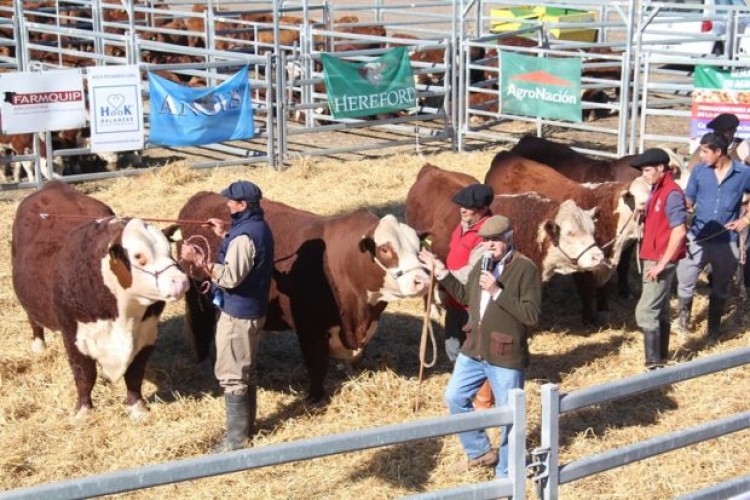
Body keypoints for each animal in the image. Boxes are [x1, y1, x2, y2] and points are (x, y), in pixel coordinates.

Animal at [11, 181, 190, 419]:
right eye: (139, 256)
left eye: (169, 250)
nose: (180, 281)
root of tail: (52, 185)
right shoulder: (74, 336)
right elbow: (84, 375)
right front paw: (83, 412)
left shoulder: (147, 334)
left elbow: (135, 373)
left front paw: (137, 408)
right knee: (33, 319)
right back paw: (39, 345)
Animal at [168, 193, 430, 401]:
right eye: (385, 249)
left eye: (419, 248)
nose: (422, 280)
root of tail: (200, 197)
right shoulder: (309, 327)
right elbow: (316, 364)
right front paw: (314, 397)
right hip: (197, 298)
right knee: (201, 330)